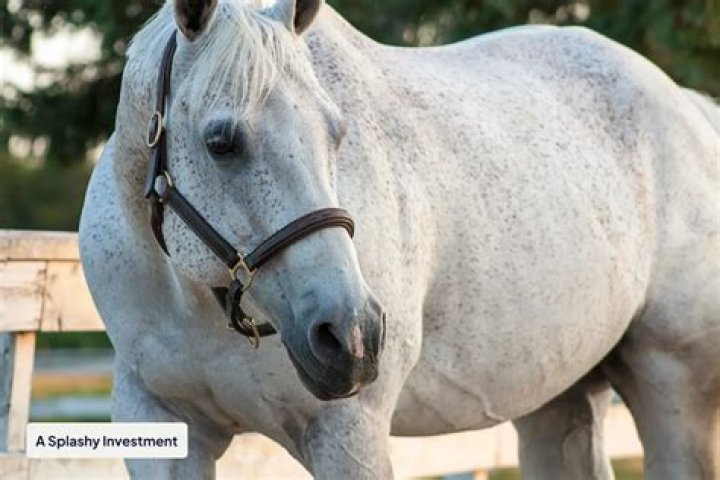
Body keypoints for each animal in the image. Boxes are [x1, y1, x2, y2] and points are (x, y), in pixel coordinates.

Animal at [79, 0, 720, 478]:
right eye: (221, 142)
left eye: (336, 134)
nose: (352, 335)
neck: (192, 299)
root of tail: (688, 107)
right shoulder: (162, 425)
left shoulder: (349, 436)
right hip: (558, 396)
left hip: (673, 387)